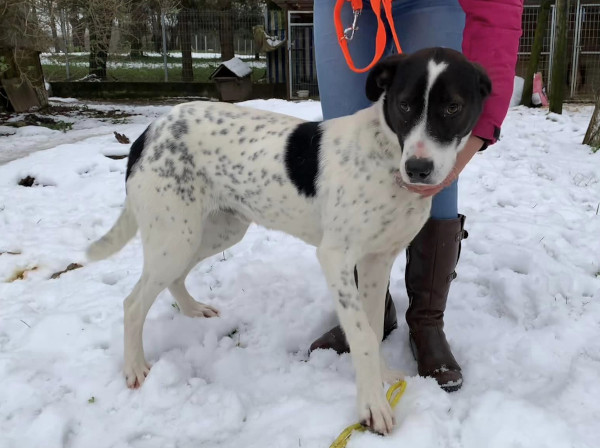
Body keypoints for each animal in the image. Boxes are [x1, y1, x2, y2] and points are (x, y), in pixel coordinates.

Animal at [87, 47, 491, 434]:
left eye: (453, 107)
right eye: (404, 105)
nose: (418, 170)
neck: (388, 156)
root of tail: (150, 130)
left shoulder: (377, 261)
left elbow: (374, 327)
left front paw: (382, 379)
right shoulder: (336, 256)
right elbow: (361, 333)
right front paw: (372, 406)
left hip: (212, 231)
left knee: (173, 277)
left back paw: (192, 310)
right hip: (175, 234)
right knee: (133, 303)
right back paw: (136, 367)